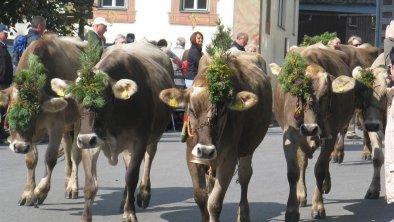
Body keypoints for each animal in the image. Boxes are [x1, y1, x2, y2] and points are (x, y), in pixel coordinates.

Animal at [0, 33, 84, 206]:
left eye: (36, 111)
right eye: (11, 111)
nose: (19, 147)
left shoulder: (56, 124)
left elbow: (50, 158)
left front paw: (40, 192)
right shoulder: (31, 136)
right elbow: (31, 160)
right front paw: (27, 193)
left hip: (78, 121)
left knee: (75, 154)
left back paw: (72, 186)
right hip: (67, 127)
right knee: (67, 151)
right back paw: (67, 182)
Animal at [51, 42, 175, 222]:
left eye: (104, 98)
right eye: (76, 98)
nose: (86, 139)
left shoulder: (139, 141)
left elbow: (131, 177)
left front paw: (129, 213)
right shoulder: (90, 141)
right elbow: (91, 184)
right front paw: (85, 217)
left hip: (155, 136)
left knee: (148, 159)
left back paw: (144, 193)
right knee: (128, 163)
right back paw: (124, 200)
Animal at [159, 52, 272, 222]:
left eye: (223, 110)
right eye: (192, 110)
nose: (206, 150)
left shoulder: (228, 160)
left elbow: (214, 202)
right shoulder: (192, 157)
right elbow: (201, 197)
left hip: (248, 148)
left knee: (245, 175)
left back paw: (244, 214)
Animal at [270, 48, 358, 220]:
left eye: (325, 94)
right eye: (299, 94)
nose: (310, 129)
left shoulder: (330, 136)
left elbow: (320, 169)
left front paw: (318, 206)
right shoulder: (289, 136)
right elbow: (294, 172)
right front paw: (292, 210)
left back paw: (326, 182)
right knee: (302, 163)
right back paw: (301, 195)